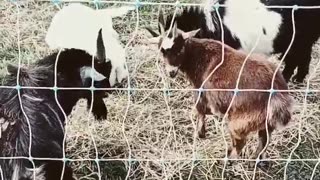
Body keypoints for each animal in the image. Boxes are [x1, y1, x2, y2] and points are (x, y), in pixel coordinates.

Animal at [147, 0, 320, 83]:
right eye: (161, 51)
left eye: (180, 48)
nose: (171, 72)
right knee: (302, 57)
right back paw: (297, 79)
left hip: (299, 41)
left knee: (295, 59)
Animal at [155, 23, 292, 160]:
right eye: (162, 51)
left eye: (180, 49)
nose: (171, 72)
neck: (199, 55)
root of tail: (277, 95)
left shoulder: (200, 90)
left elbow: (200, 110)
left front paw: (200, 133)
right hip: (266, 123)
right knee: (264, 140)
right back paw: (255, 159)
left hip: (240, 122)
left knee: (240, 142)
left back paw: (229, 159)